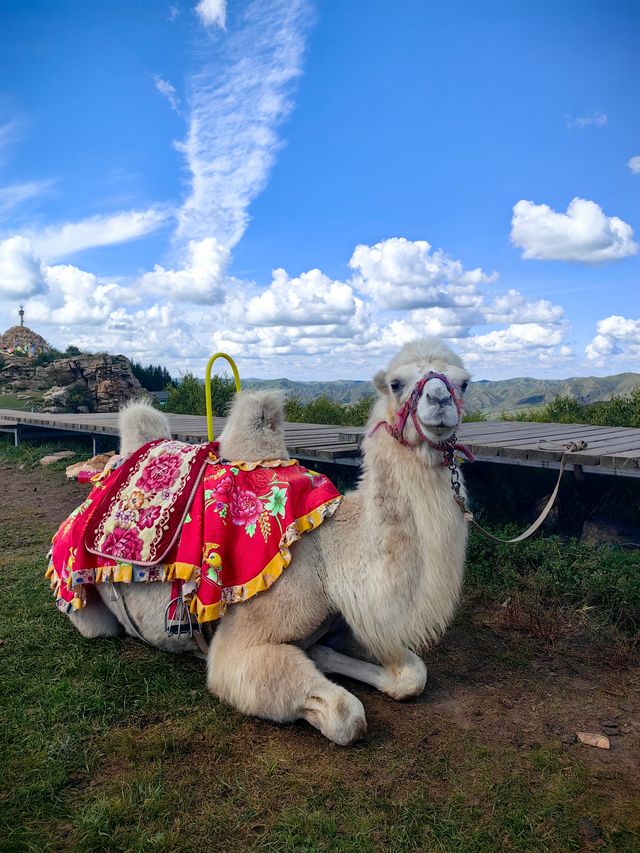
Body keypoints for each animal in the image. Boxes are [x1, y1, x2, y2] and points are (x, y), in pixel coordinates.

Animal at [63, 336, 470, 744]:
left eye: (463, 383)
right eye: (396, 384)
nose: (439, 401)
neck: (330, 555)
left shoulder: (352, 621)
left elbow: (413, 675)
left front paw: (323, 655)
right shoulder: (240, 648)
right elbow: (347, 716)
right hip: (84, 603)